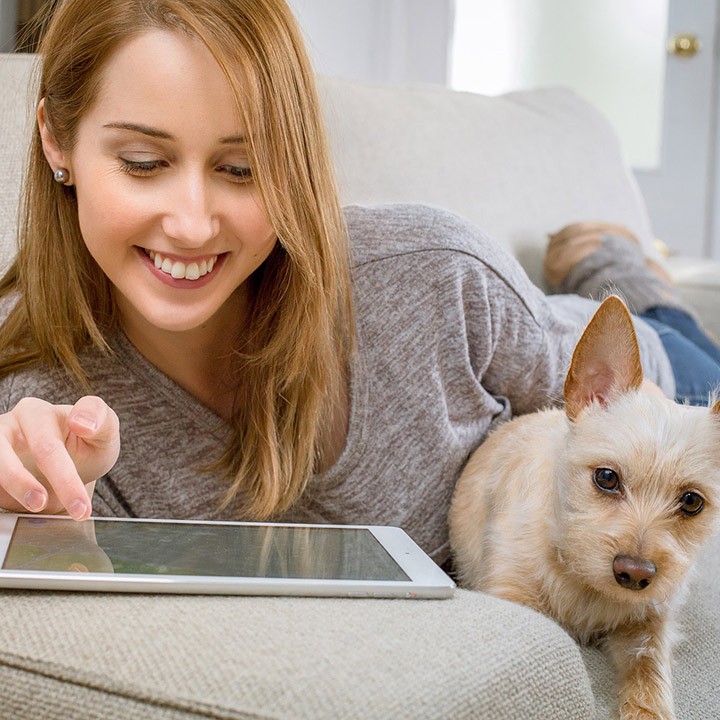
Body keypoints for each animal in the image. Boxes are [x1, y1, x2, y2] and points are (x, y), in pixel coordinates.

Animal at [450, 296, 720, 720]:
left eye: (692, 501)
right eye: (606, 478)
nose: (635, 574)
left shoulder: (650, 624)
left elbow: (649, 674)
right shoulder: (511, 593)